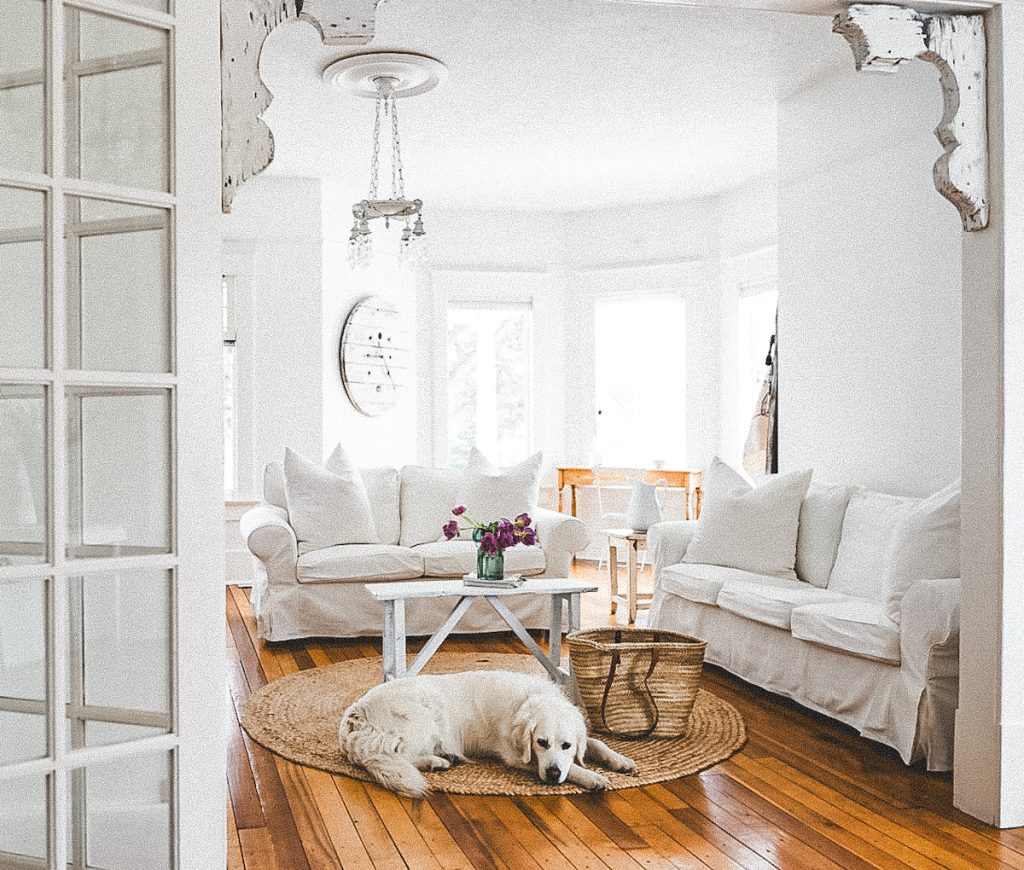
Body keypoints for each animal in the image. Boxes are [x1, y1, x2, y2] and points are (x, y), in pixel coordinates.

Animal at [339, 667, 634, 798]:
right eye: (541, 742)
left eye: (567, 745)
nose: (552, 775)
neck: (525, 701)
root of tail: (354, 716)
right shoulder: (516, 756)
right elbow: (568, 767)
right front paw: (592, 776)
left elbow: (594, 743)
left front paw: (620, 761)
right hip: (422, 719)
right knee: (400, 754)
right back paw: (438, 761)